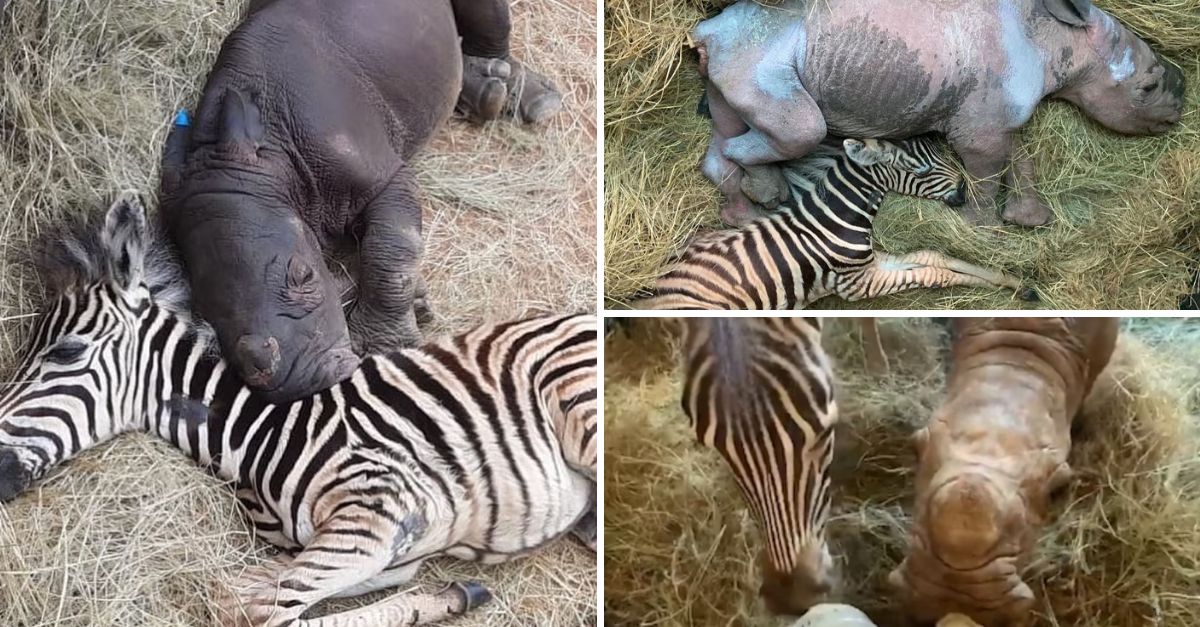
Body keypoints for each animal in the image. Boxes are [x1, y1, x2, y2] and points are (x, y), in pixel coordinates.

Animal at [0, 194, 600, 624]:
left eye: (65, 352)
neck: (258, 434)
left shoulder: (381, 510)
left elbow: (256, 609)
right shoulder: (388, 549)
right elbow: (258, 595)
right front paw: (452, 595)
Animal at [159, 0, 458, 401]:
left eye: (304, 275)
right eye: (203, 312)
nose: (298, 382)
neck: (271, 157)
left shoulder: (383, 178)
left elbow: (391, 252)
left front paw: (383, 346)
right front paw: (418, 303)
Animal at [633, 139, 1036, 309]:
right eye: (921, 169)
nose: (963, 193)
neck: (834, 220)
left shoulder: (871, 262)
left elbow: (935, 257)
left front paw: (1018, 284)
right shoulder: (856, 284)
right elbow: (934, 275)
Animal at [700, 0, 1185, 227]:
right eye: (1146, 89)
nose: (1179, 108)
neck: (1059, 39)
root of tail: (709, 28)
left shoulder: (996, 112)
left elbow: (1019, 154)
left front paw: (1029, 220)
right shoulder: (980, 122)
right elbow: (987, 174)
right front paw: (978, 226)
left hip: (738, 57)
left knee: (730, 128)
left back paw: (747, 214)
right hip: (756, 54)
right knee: (802, 129)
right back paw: (767, 193)